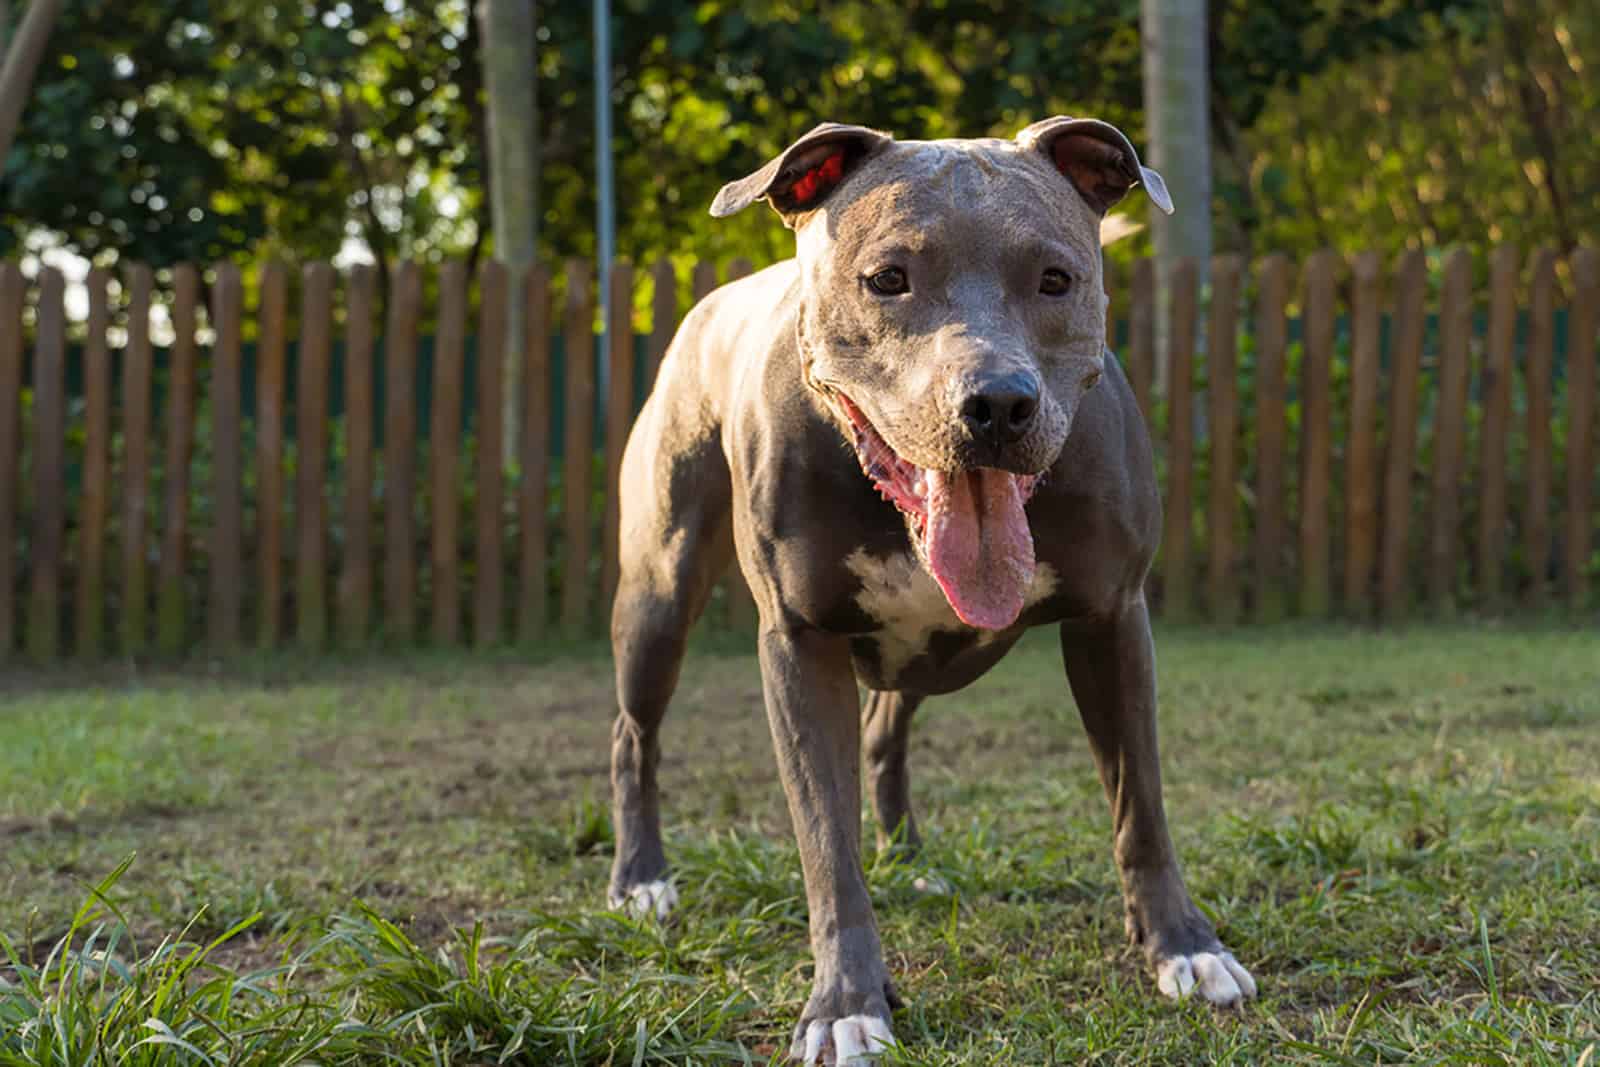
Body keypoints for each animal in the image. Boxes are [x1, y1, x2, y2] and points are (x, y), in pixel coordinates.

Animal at [604, 116, 1254, 1062]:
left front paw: (1183, 946)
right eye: (887, 280)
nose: (997, 404)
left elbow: (1142, 804)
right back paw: (641, 878)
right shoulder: (799, 646)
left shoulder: (1113, 619)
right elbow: (825, 842)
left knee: (885, 729)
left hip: (923, 652)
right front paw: (845, 1002)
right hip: (658, 591)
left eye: (1056, 279)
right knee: (634, 735)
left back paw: (907, 855)